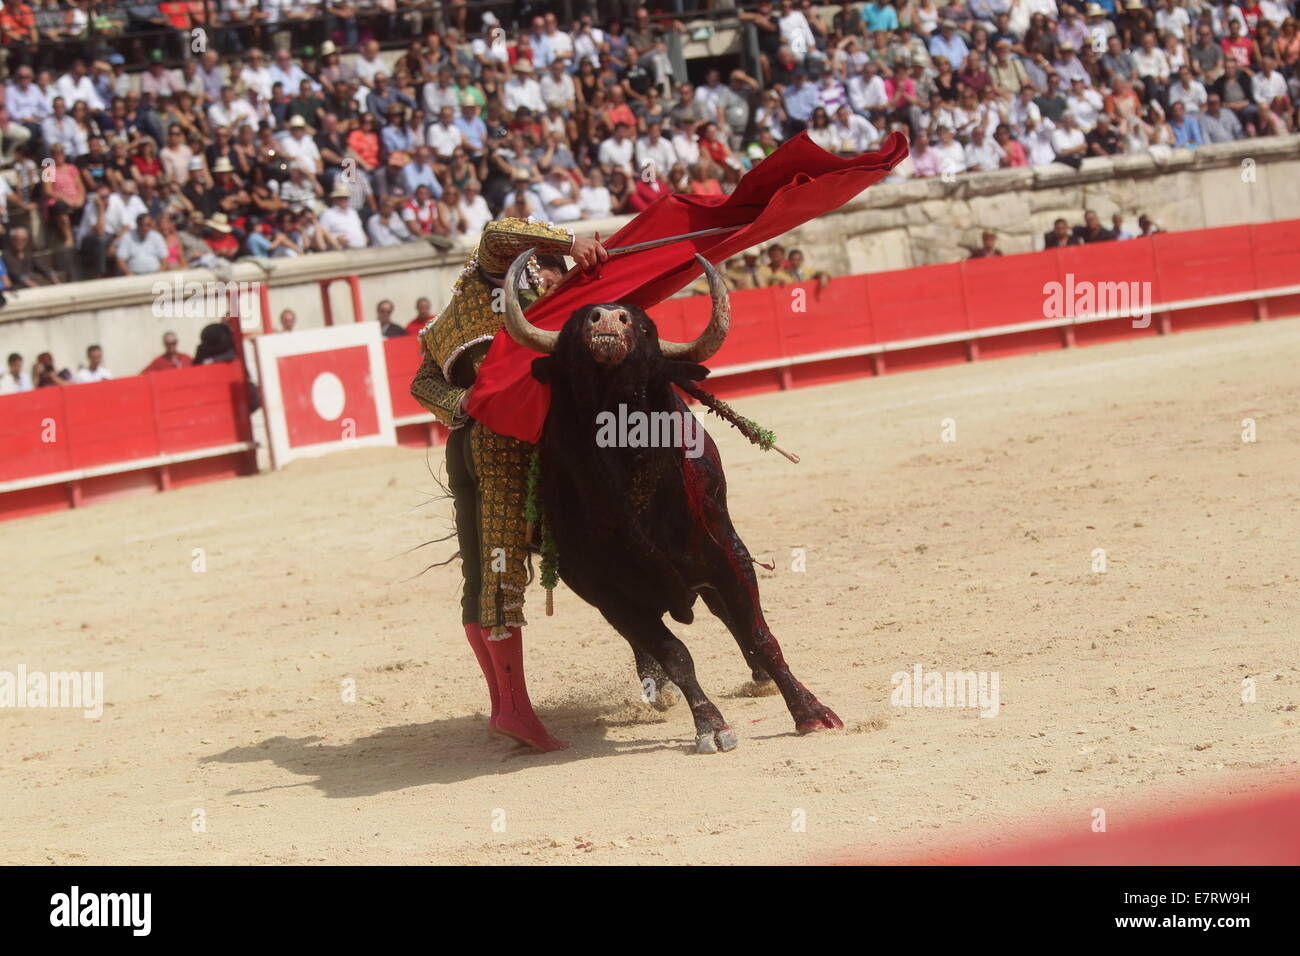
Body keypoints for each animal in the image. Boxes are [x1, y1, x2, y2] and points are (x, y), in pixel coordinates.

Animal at [501, 248, 837, 754]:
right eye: (575, 325)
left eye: (643, 327)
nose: (607, 317)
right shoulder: (601, 586)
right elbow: (673, 652)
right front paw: (711, 725)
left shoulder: (728, 554)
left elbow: (760, 633)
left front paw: (811, 712)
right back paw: (654, 688)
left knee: (727, 617)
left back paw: (757, 677)